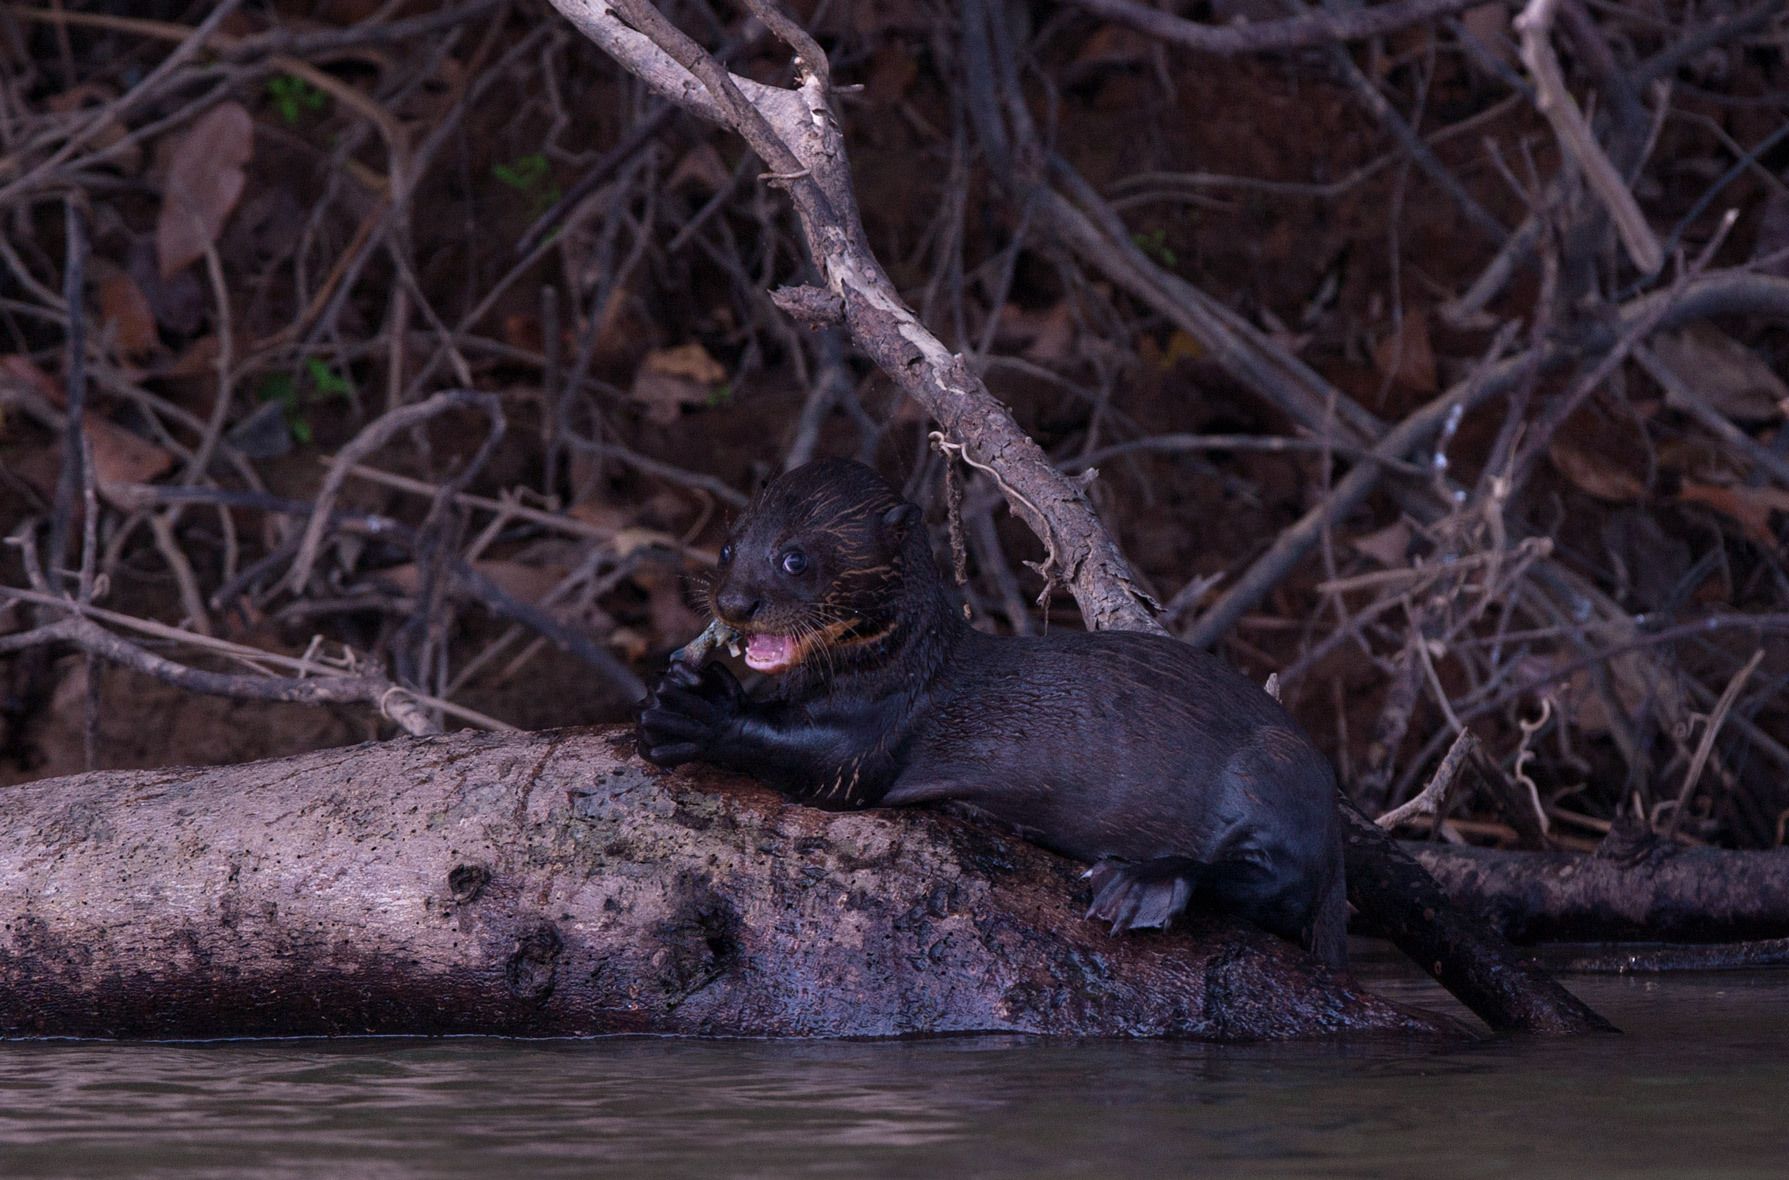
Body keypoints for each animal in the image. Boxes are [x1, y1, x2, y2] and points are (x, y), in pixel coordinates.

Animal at [637, 459, 1348, 967]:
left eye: (795, 558)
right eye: (728, 548)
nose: (735, 602)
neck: (901, 663)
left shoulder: (880, 725)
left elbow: (824, 765)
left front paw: (691, 713)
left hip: (1271, 771)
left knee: (1270, 881)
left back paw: (1137, 880)